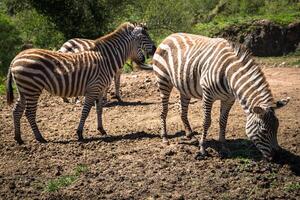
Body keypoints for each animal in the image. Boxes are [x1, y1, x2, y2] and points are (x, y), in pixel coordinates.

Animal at [6, 21, 157, 144]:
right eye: (144, 37)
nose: (155, 49)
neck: (106, 59)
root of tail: (15, 58)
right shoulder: (93, 88)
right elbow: (86, 111)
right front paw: (79, 133)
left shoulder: (100, 89)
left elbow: (99, 109)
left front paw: (101, 129)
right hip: (32, 88)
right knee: (29, 113)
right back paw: (40, 137)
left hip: (24, 89)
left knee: (16, 110)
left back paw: (18, 138)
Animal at [154, 33, 290, 161]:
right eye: (264, 131)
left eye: (277, 127)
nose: (278, 157)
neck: (229, 75)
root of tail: (170, 36)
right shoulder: (208, 95)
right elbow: (206, 122)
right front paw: (202, 149)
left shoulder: (229, 99)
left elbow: (223, 122)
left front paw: (224, 147)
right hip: (163, 81)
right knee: (164, 110)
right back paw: (165, 138)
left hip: (185, 87)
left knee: (182, 109)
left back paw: (190, 135)